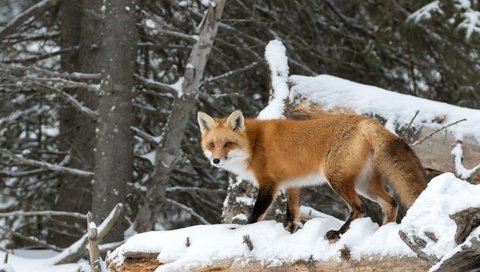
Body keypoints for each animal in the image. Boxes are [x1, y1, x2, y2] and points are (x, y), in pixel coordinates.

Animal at [197, 109, 426, 239]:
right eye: (211, 145)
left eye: (228, 144)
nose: (215, 160)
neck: (254, 144)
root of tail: (366, 121)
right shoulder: (292, 184)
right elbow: (291, 214)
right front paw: (288, 234)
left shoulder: (269, 184)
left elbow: (255, 215)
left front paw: (241, 232)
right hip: (364, 184)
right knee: (391, 203)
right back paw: (383, 232)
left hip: (337, 180)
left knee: (360, 208)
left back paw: (339, 233)